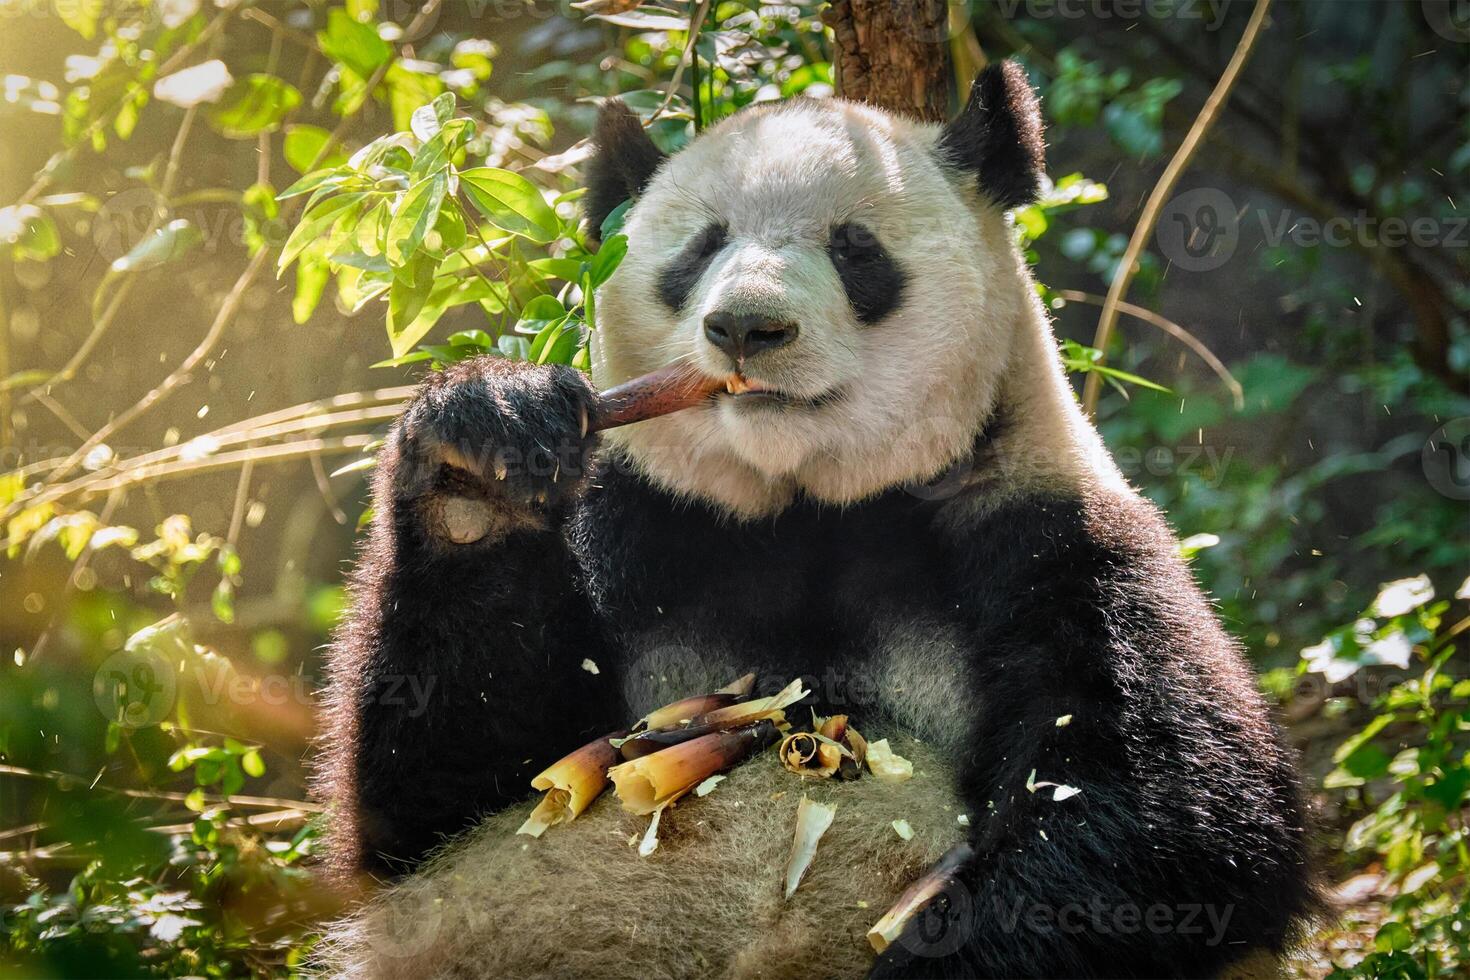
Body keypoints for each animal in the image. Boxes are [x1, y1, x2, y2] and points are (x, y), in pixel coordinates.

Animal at [316, 63, 1317, 980]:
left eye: (854, 247)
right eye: (701, 248)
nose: (746, 329)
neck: (807, 503)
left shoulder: (1048, 535)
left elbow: (1166, 813)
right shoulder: (639, 526)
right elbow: (438, 794)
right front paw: (483, 455)